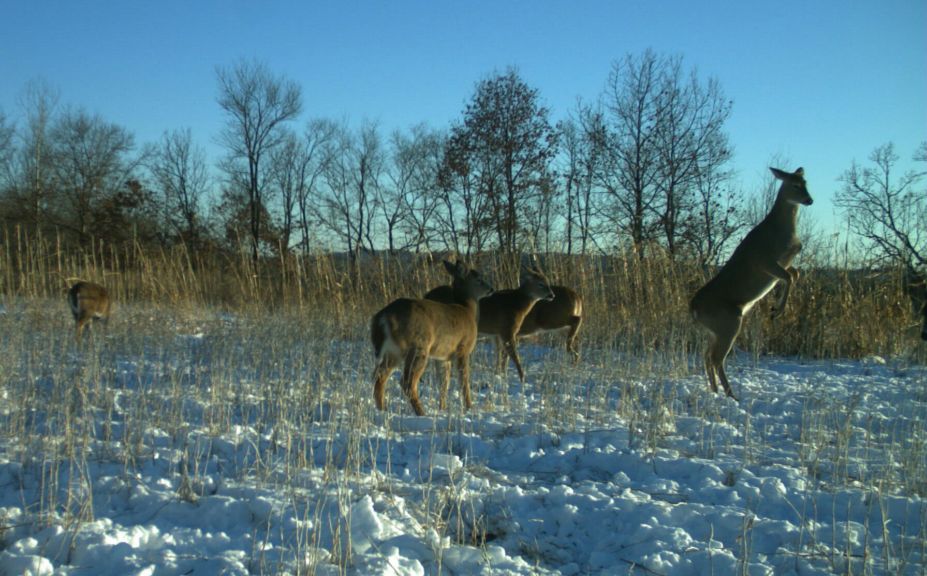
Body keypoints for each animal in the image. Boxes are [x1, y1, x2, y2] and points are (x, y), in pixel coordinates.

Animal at [374, 260, 496, 414]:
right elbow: (463, 380)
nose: (491, 288)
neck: (467, 310)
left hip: (393, 350)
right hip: (418, 347)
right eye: (479, 279)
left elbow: (444, 383)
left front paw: (442, 408)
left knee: (380, 377)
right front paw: (469, 407)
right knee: (407, 382)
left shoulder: (443, 357)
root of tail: (383, 316)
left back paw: (382, 410)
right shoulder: (463, 349)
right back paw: (421, 413)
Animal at [424, 268, 556, 384]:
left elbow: (499, 355)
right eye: (540, 284)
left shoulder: (496, 333)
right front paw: (521, 378)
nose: (552, 295)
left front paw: (499, 375)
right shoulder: (507, 330)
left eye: (547, 281)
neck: (517, 304)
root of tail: (426, 295)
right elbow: (513, 356)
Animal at [688, 166, 812, 400]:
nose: (810, 200)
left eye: (806, 183)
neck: (782, 230)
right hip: (729, 323)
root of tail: (693, 309)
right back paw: (731, 395)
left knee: (707, 356)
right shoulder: (764, 261)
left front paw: (776, 305)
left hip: (713, 330)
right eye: (794, 185)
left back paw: (715, 392)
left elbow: (795, 274)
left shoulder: (784, 263)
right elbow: (789, 276)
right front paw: (777, 311)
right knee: (716, 358)